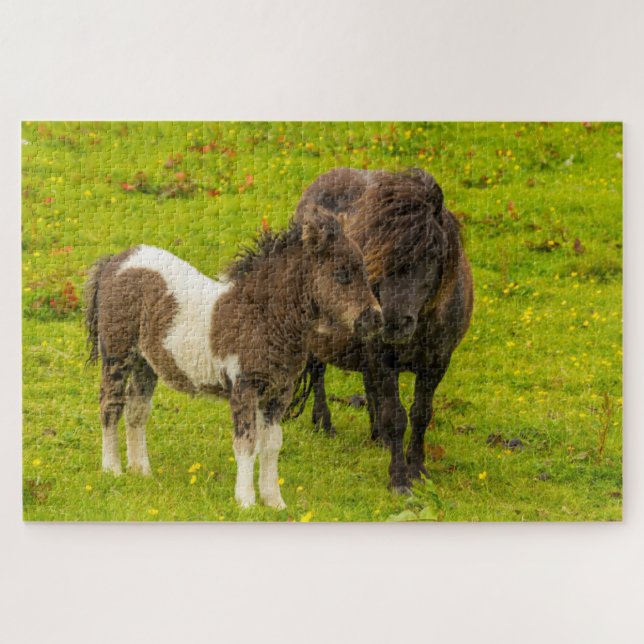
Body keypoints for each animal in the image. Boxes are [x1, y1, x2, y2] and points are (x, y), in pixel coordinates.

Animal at [84, 205, 383, 509]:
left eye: (364, 270)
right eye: (342, 274)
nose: (374, 318)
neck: (263, 316)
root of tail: (115, 261)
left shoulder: (279, 392)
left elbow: (271, 444)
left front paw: (274, 501)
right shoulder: (244, 387)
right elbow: (246, 443)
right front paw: (246, 501)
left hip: (145, 365)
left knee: (137, 410)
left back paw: (141, 471)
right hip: (117, 355)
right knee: (111, 406)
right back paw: (113, 469)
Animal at [292, 168, 473, 493]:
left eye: (431, 252)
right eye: (377, 254)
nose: (393, 322)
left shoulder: (437, 363)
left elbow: (420, 414)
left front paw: (418, 470)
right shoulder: (383, 358)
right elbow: (396, 416)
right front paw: (399, 479)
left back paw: (377, 437)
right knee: (318, 372)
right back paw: (324, 424)